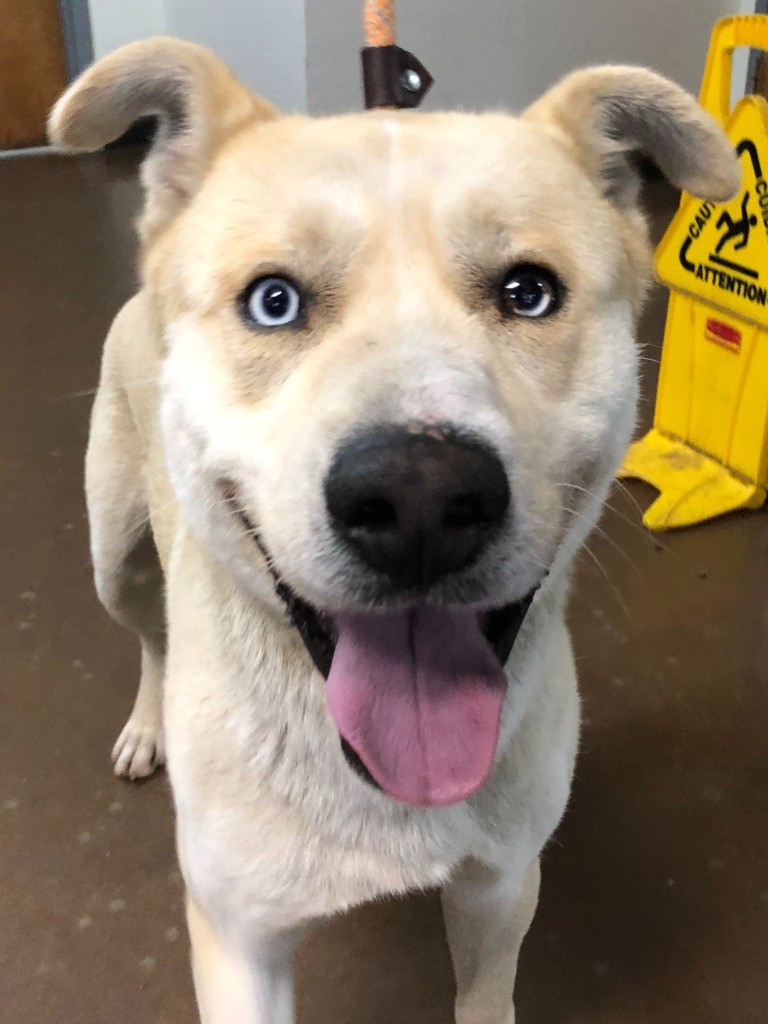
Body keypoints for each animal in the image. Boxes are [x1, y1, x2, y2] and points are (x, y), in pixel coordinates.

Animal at [49, 41, 741, 1024]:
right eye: (272, 301)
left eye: (530, 292)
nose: (419, 499)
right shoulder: (240, 944)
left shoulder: (500, 891)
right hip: (117, 553)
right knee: (149, 635)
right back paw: (148, 726)